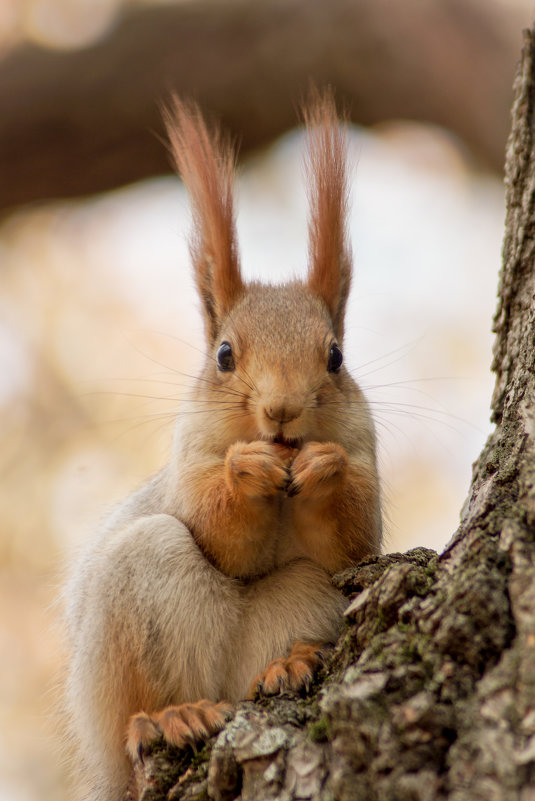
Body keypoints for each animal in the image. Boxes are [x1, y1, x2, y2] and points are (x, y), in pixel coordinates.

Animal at [63, 90, 382, 796]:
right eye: (225, 355)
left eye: (337, 358)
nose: (282, 413)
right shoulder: (188, 457)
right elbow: (218, 532)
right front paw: (245, 469)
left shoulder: (367, 455)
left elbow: (354, 541)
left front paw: (326, 468)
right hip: (134, 620)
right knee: (143, 703)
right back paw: (172, 715)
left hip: (308, 597)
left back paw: (290, 664)